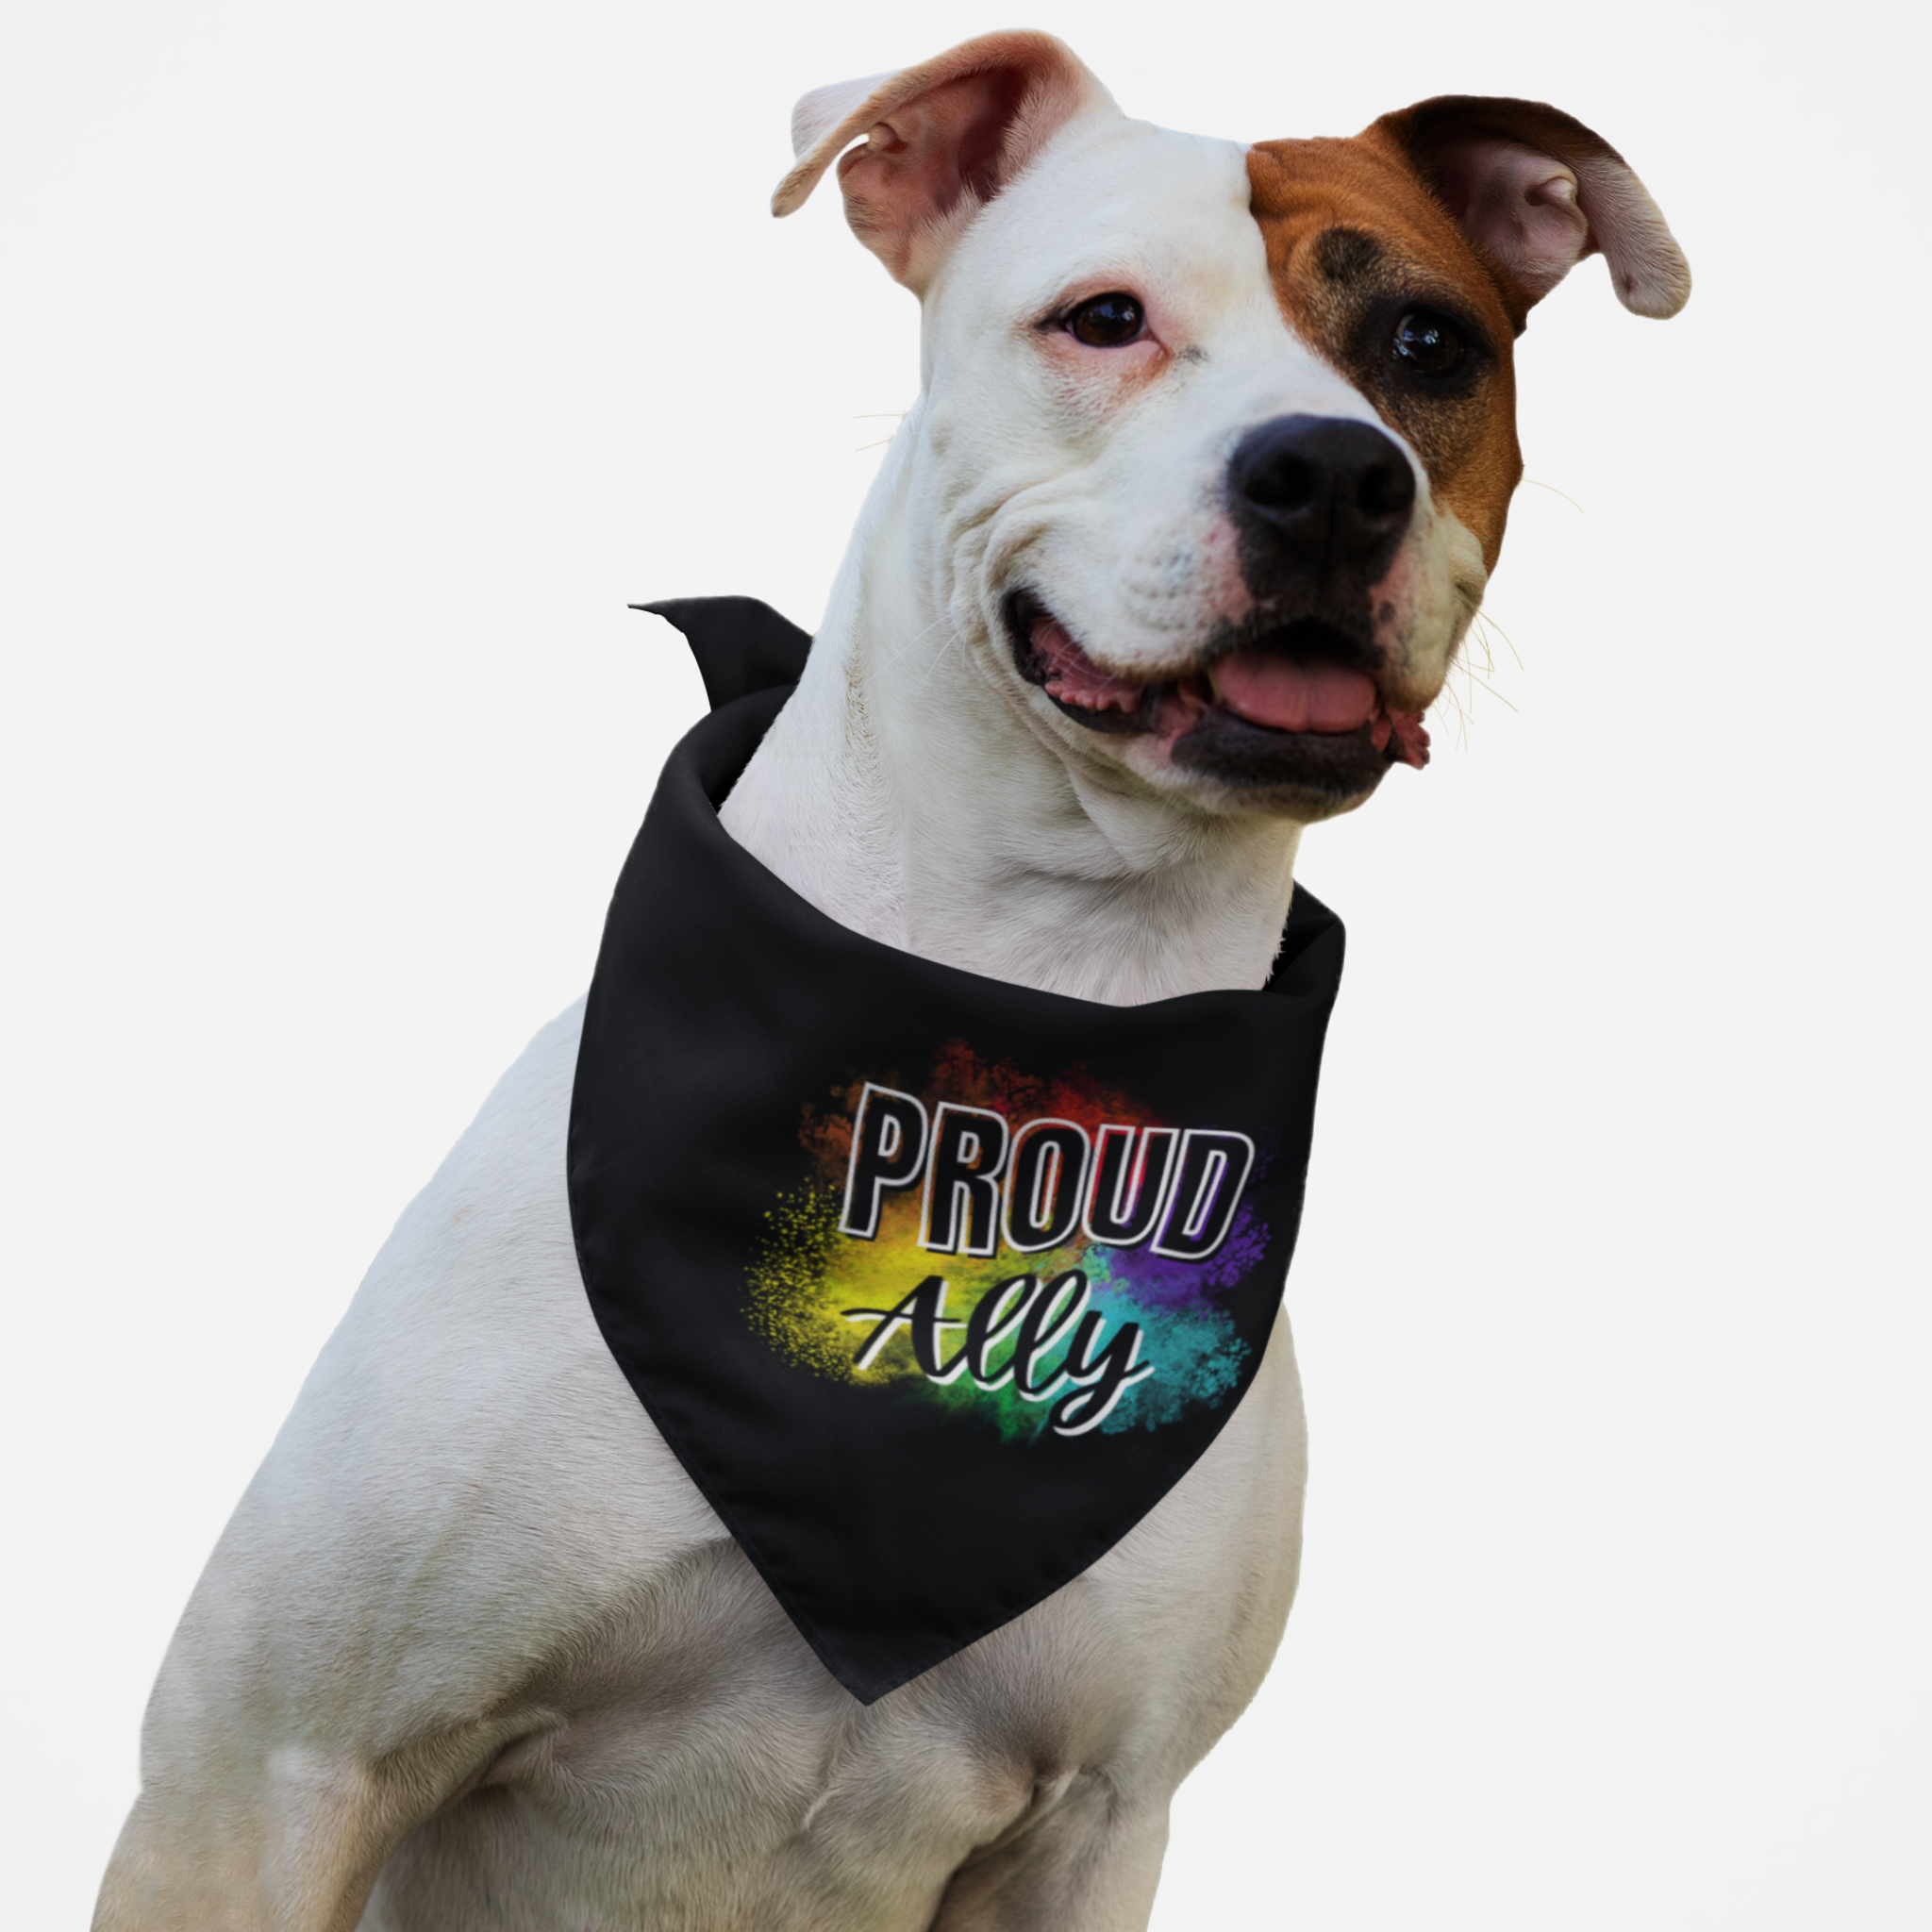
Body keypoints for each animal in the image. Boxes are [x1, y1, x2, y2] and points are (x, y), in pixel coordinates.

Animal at [97, 34, 1684, 1932]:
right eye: (1103, 318)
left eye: (1430, 345)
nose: (1331, 472)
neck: (1030, 995)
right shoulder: (270, 1769)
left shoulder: (1097, 1824)